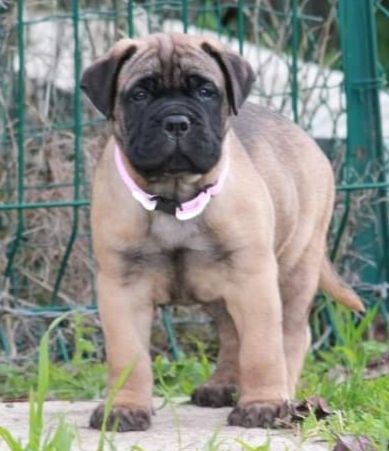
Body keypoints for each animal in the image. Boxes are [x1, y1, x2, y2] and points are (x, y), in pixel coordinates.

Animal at [80, 33, 362, 432]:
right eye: (139, 94)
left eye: (205, 91)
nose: (176, 121)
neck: (175, 197)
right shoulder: (123, 287)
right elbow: (128, 356)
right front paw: (123, 408)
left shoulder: (254, 280)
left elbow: (262, 348)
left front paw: (262, 404)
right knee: (231, 335)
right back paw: (223, 385)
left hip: (295, 267)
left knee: (291, 335)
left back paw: (285, 395)